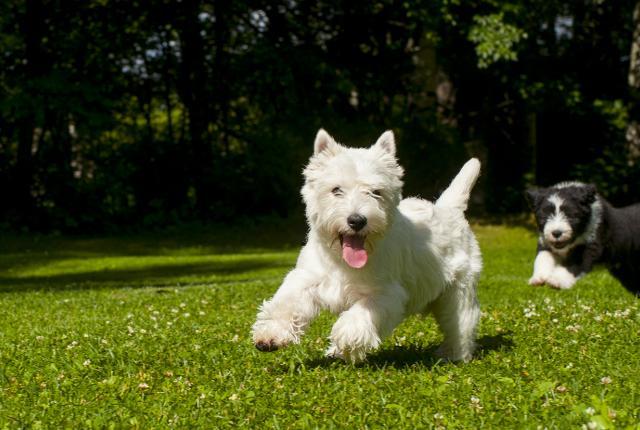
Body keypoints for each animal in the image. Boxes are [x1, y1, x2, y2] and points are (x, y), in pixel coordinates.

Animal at [250, 128, 480, 362]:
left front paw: (345, 340)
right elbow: (286, 303)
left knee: (461, 322)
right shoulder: (307, 279)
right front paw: (270, 334)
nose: (357, 220)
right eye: (336, 190)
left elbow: (359, 315)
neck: (340, 260)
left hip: (459, 290)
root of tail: (448, 208)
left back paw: (454, 354)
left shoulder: (385, 293)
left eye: (376, 192)